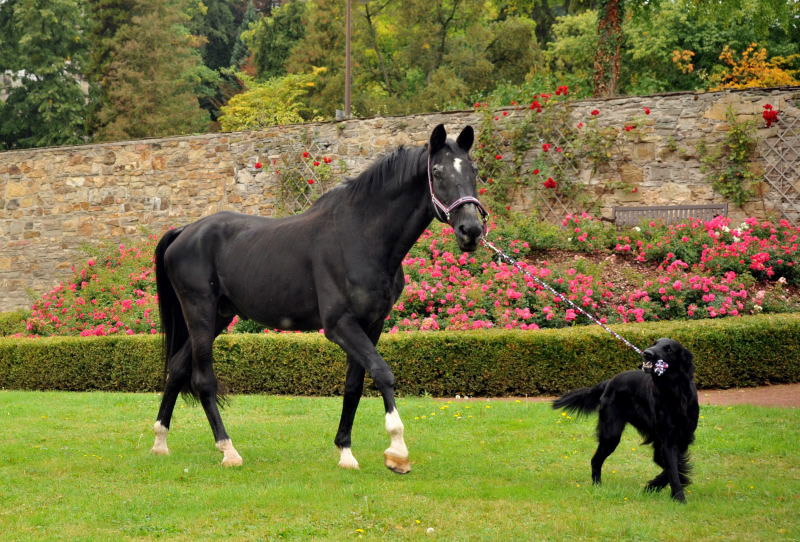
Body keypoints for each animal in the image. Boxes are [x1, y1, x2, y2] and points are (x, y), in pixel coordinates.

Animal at [152, 125, 484, 474]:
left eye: (473, 170)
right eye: (437, 172)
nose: (471, 230)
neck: (360, 236)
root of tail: (185, 231)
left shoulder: (371, 325)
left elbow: (354, 385)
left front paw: (345, 452)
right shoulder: (340, 326)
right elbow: (382, 373)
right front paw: (397, 452)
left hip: (219, 316)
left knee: (177, 367)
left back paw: (160, 441)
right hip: (200, 314)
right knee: (203, 379)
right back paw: (228, 449)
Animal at [552, 338, 696, 504]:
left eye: (668, 349)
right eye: (654, 343)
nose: (647, 353)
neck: (675, 393)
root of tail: (609, 381)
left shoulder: (683, 438)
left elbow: (675, 467)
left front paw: (655, 486)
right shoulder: (667, 440)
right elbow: (673, 468)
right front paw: (677, 497)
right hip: (611, 435)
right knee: (595, 460)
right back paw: (597, 486)